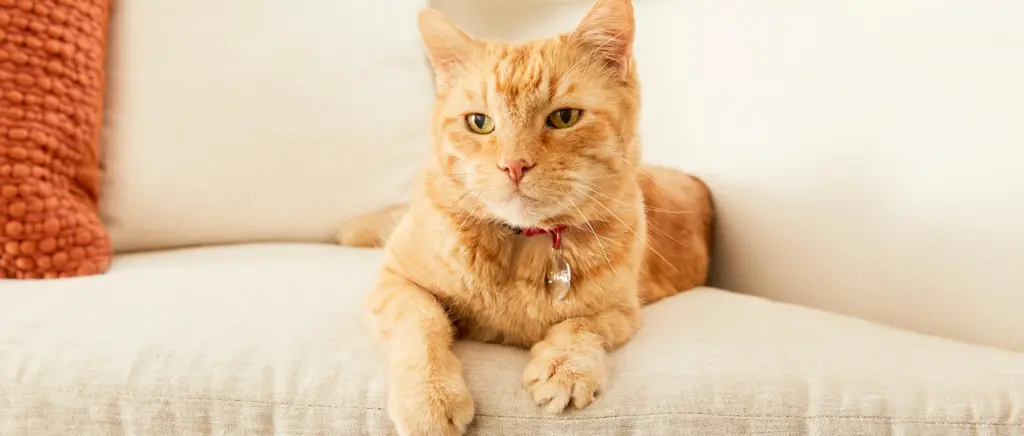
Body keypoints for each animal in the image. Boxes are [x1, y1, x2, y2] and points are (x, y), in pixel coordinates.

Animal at [335, 1, 712, 433]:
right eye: (479, 122)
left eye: (564, 117)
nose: (514, 165)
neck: (520, 246)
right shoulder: (396, 282)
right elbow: (422, 320)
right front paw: (430, 396)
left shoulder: (622, 312)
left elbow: (579, 325)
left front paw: (564, 369)